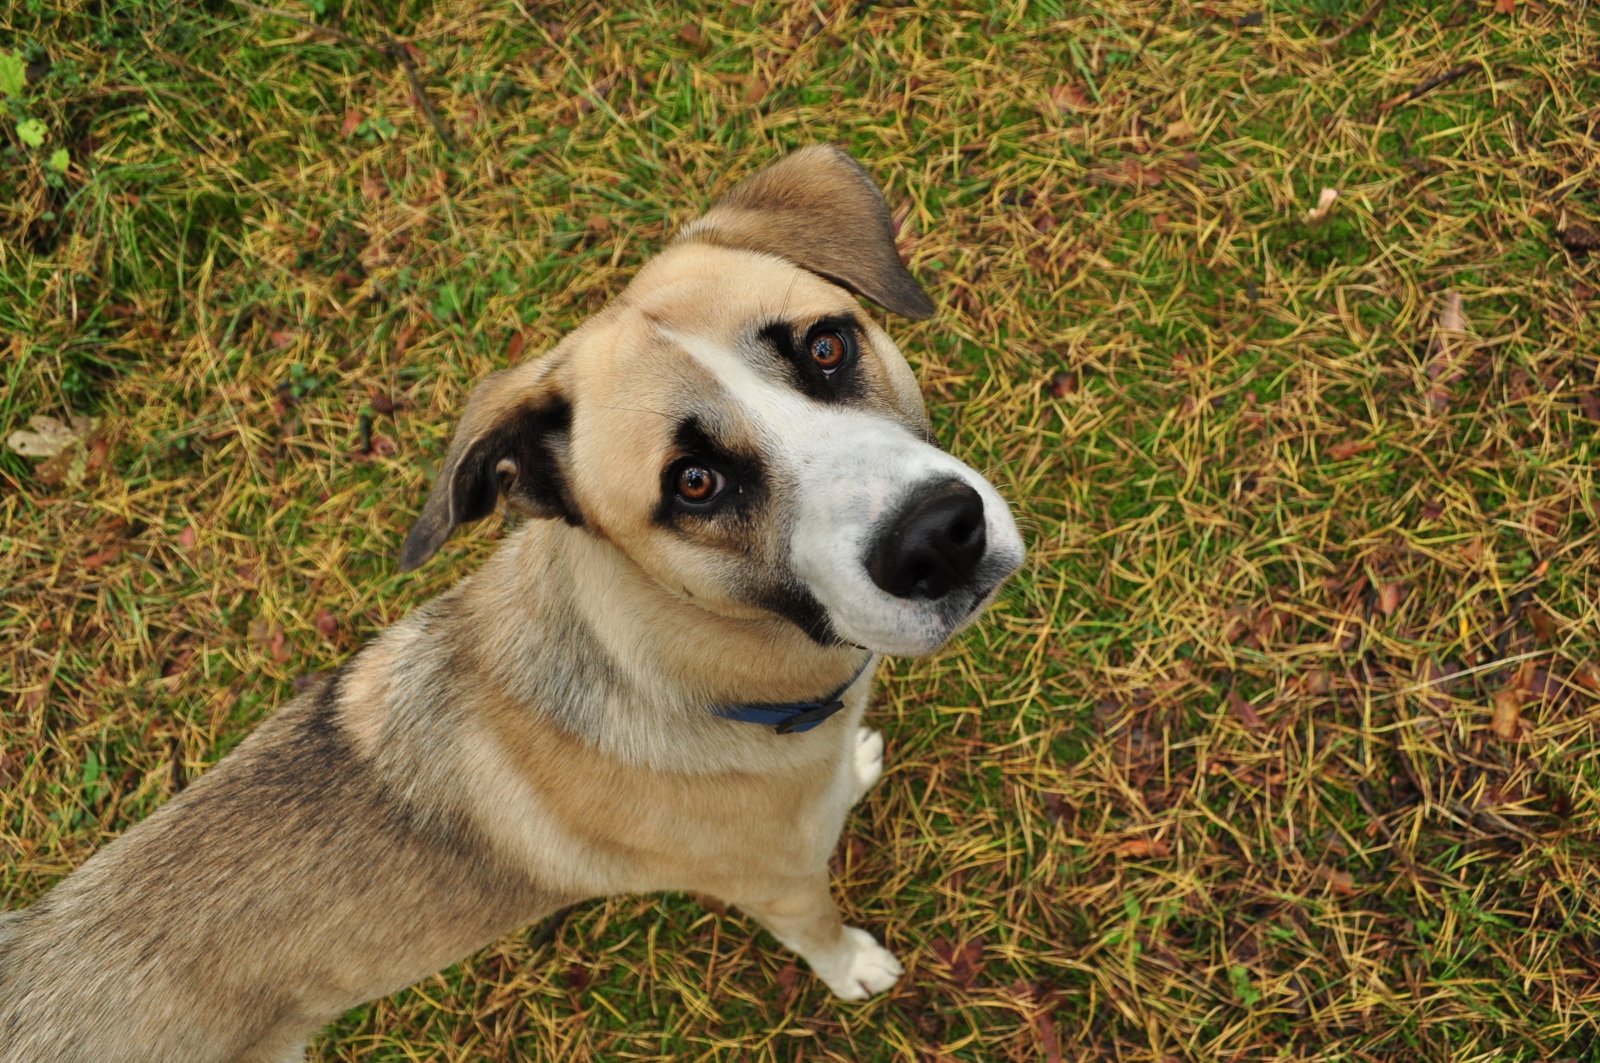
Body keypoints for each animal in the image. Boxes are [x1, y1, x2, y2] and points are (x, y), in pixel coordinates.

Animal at [0, 145, 1025, 1062]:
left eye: (827, 343)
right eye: (693, 483)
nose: (937, 538)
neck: (691, 666)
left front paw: (853, 765)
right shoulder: (776, 885)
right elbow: (818, 930)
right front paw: (854, 967)